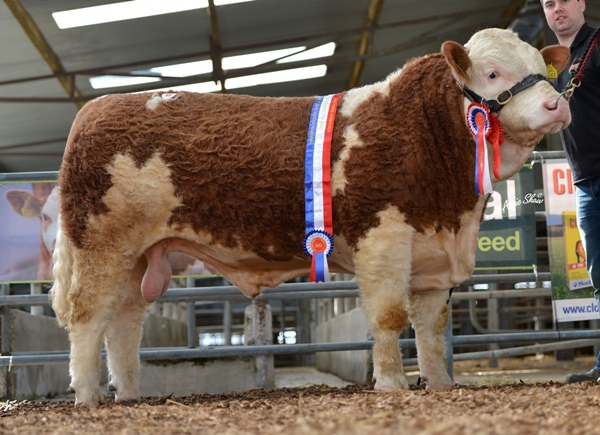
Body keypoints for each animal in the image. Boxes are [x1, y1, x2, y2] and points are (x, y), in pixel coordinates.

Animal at [49, 29, 568, 408]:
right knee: (89, 315)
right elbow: (389, 316)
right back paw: (89, 396)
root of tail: (93, 109)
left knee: (124, 321)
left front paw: (438, 383)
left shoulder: (432, 250)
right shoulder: (382, 237)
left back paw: (129, 395)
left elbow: (433, 327)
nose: (557, 104)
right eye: (493, 71)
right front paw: (391, 385)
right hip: (102, 242)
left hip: (139, 254)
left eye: (543, 71)